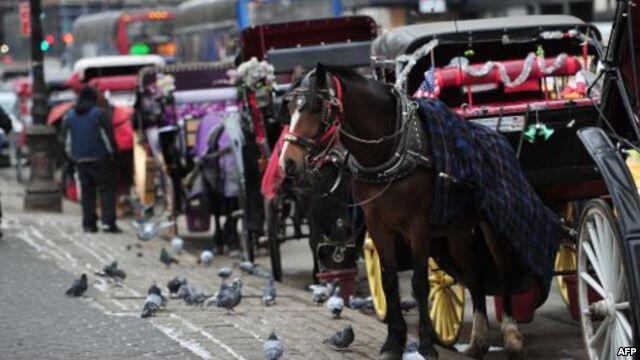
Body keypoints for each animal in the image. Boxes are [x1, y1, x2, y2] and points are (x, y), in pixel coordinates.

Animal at [278, 64, 528, 360]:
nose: (287, 163)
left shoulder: (417, 225)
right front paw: (393, 342)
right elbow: (388, 280)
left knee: (502, 268)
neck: (387, 153)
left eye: (317, 108)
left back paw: (512, 335)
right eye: (289, 107)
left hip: (493, 223)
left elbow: (420, 283)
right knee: (474, 275)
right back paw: (478, 341)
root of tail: (497, 135)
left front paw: (426, 344)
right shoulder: (378, 225)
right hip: (456, 231)